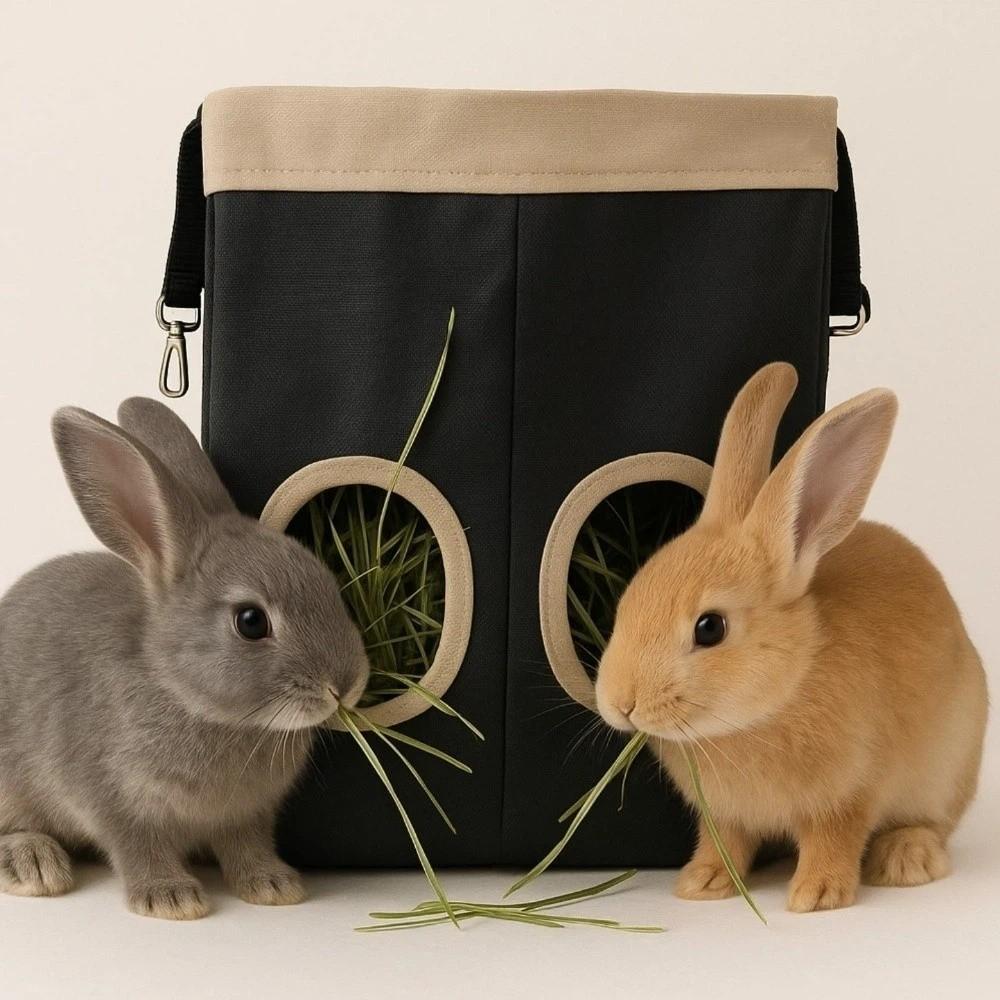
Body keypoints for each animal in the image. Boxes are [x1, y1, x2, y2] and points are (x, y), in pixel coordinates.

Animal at [0, 398, 370, 919]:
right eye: (251, 621)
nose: (348, 683)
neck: (183, 693)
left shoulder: (245, 816)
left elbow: (247, 847)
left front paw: (275, 887)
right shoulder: (112, 800)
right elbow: (137, 847)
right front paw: (171, 899)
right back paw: (33, 864)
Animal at [595, 363, 988, 913]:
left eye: (710, 627)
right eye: (628, 598)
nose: (620, 703)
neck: (776, 698)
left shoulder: (847, 796)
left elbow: (833, 841)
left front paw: (816, 896)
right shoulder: (725, 817)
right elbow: (725, 843)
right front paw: (702, 884)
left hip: (948, 767)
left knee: (931, 824)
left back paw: (906, 860)